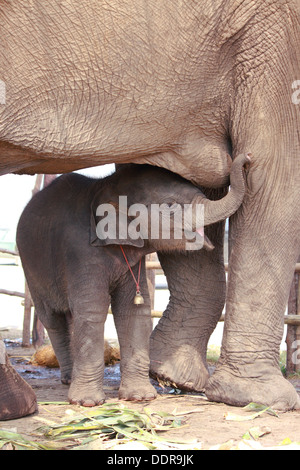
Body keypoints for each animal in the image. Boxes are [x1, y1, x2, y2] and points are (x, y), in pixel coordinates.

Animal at [17, 156, 250, 406]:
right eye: (170, 207)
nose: (245, 159)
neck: (106, 185)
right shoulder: (80, 252)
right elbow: (93, 310)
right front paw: (88, 402)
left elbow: (134, 310)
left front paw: (140, 397)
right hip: (31, 269)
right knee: (52, 320)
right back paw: (68, 379)